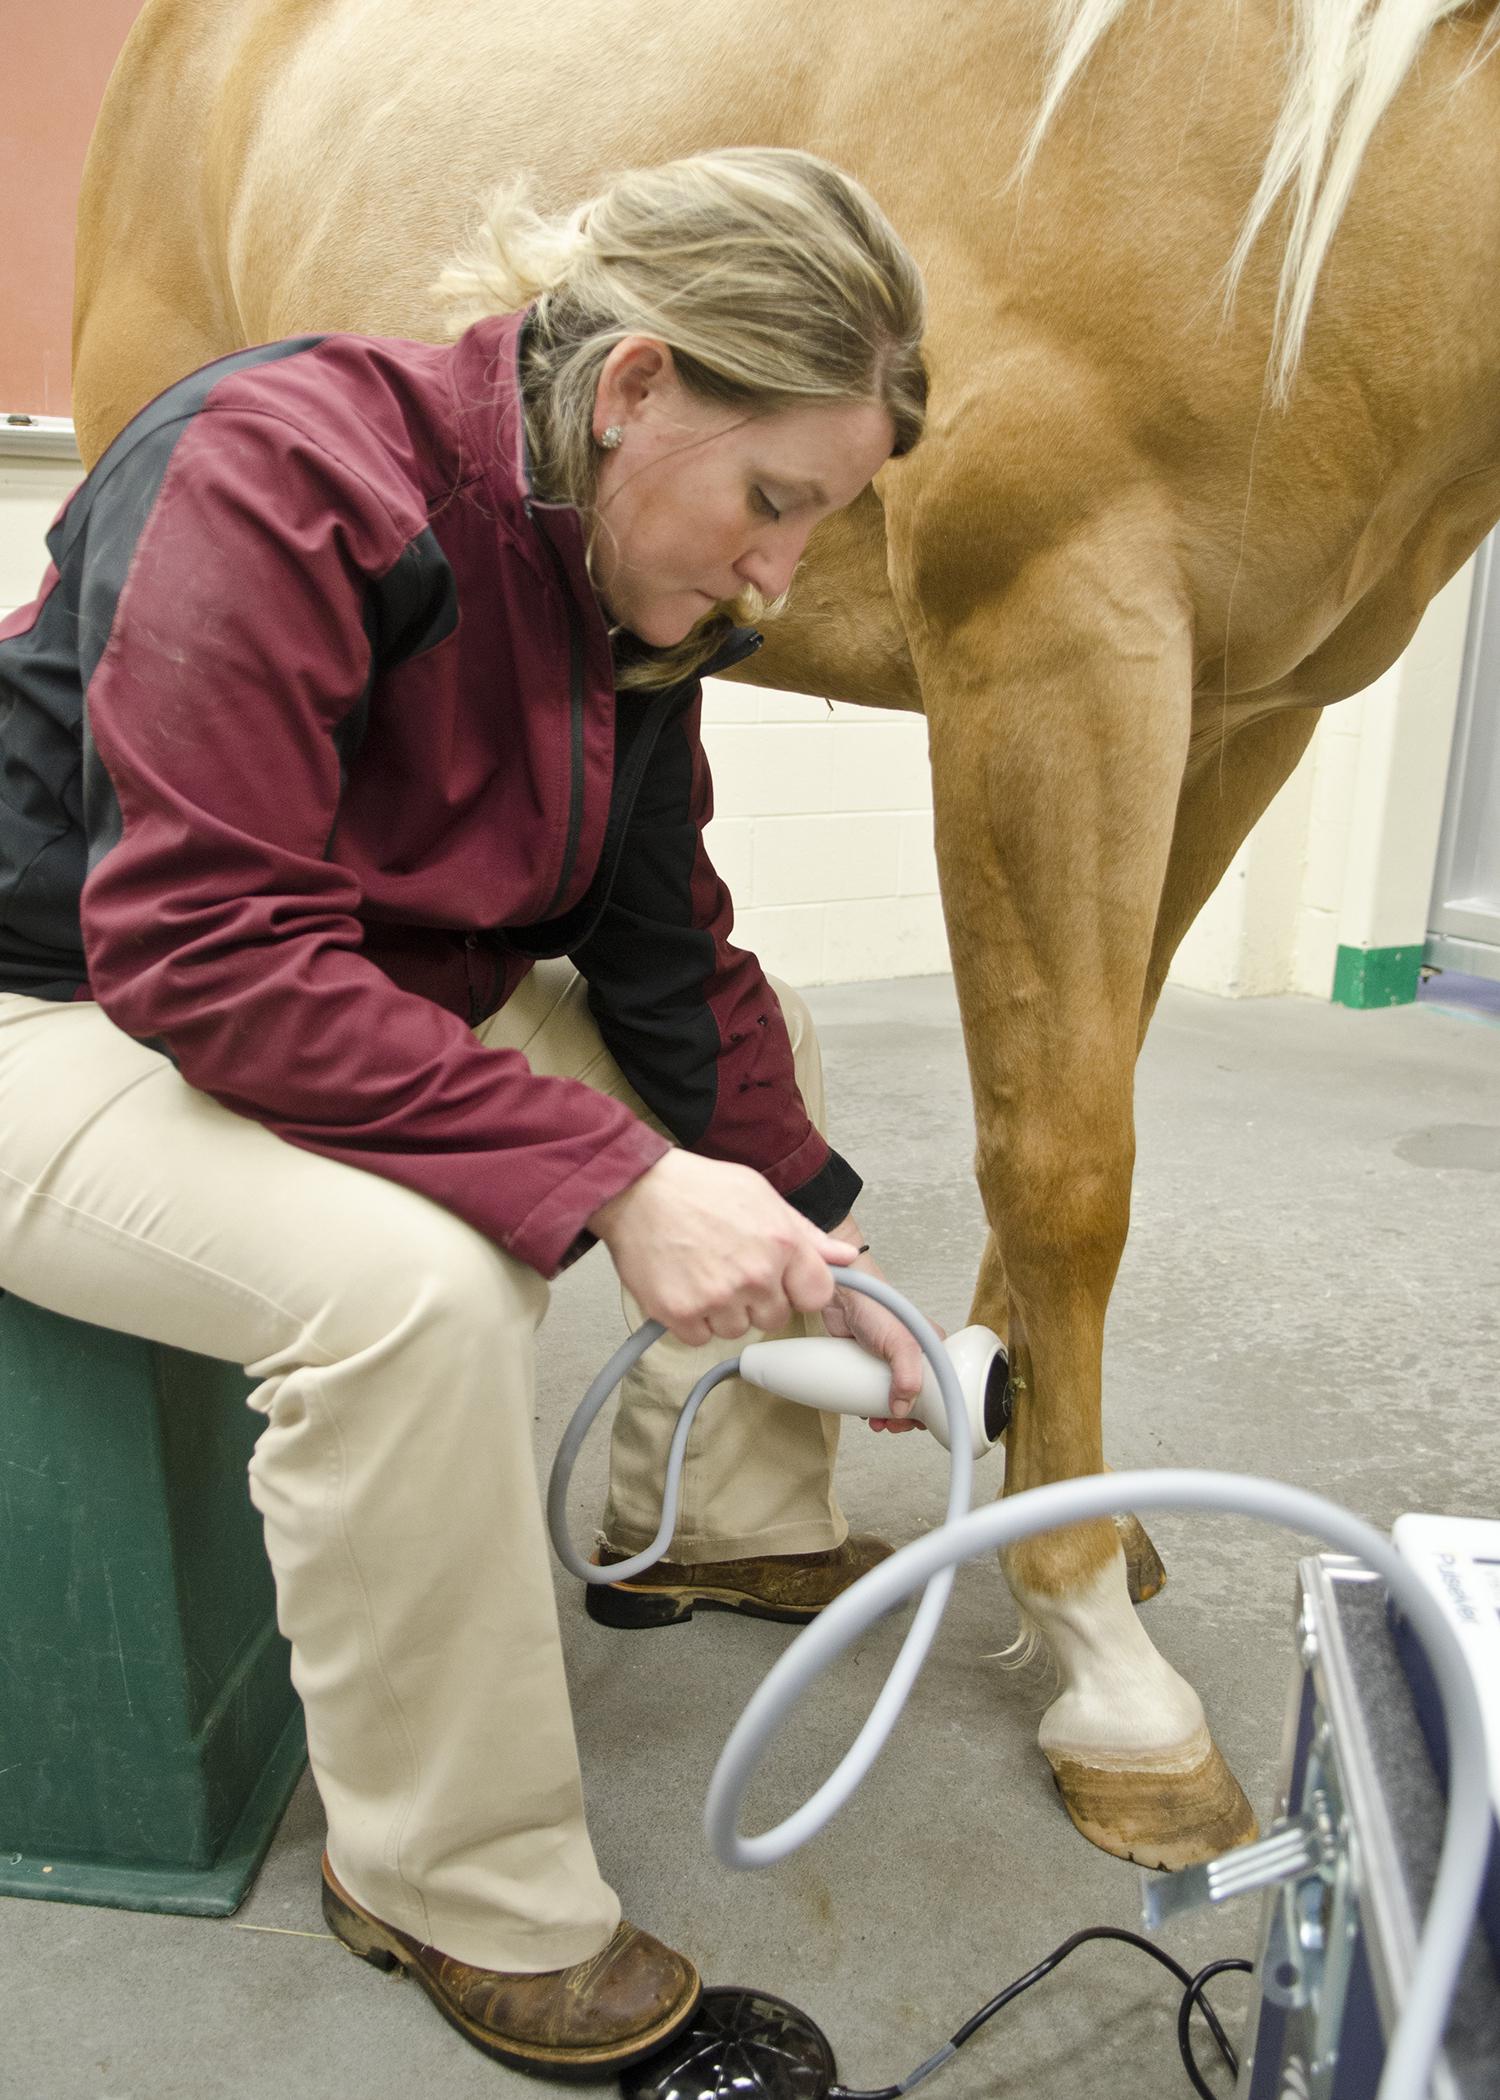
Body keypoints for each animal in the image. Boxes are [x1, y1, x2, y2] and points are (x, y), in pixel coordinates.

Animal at [70, 0, 1495, 1873]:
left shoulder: (1247, 712)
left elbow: (1084, 1088)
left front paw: (1035, 1485)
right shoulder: (1059, 638)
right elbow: (1063, 1160)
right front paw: (1099, 1659)